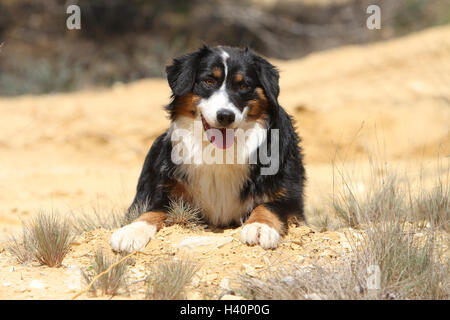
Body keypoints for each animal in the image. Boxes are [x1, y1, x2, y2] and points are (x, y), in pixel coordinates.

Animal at [110, 45, 306, 252]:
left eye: (244, 86)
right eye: (209, 81)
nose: (225, 116)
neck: (219, 153)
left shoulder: (290, 199)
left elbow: (267, 206)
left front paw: (259, 227)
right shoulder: (169, 196)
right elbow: (152, 211)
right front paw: (131, 231)